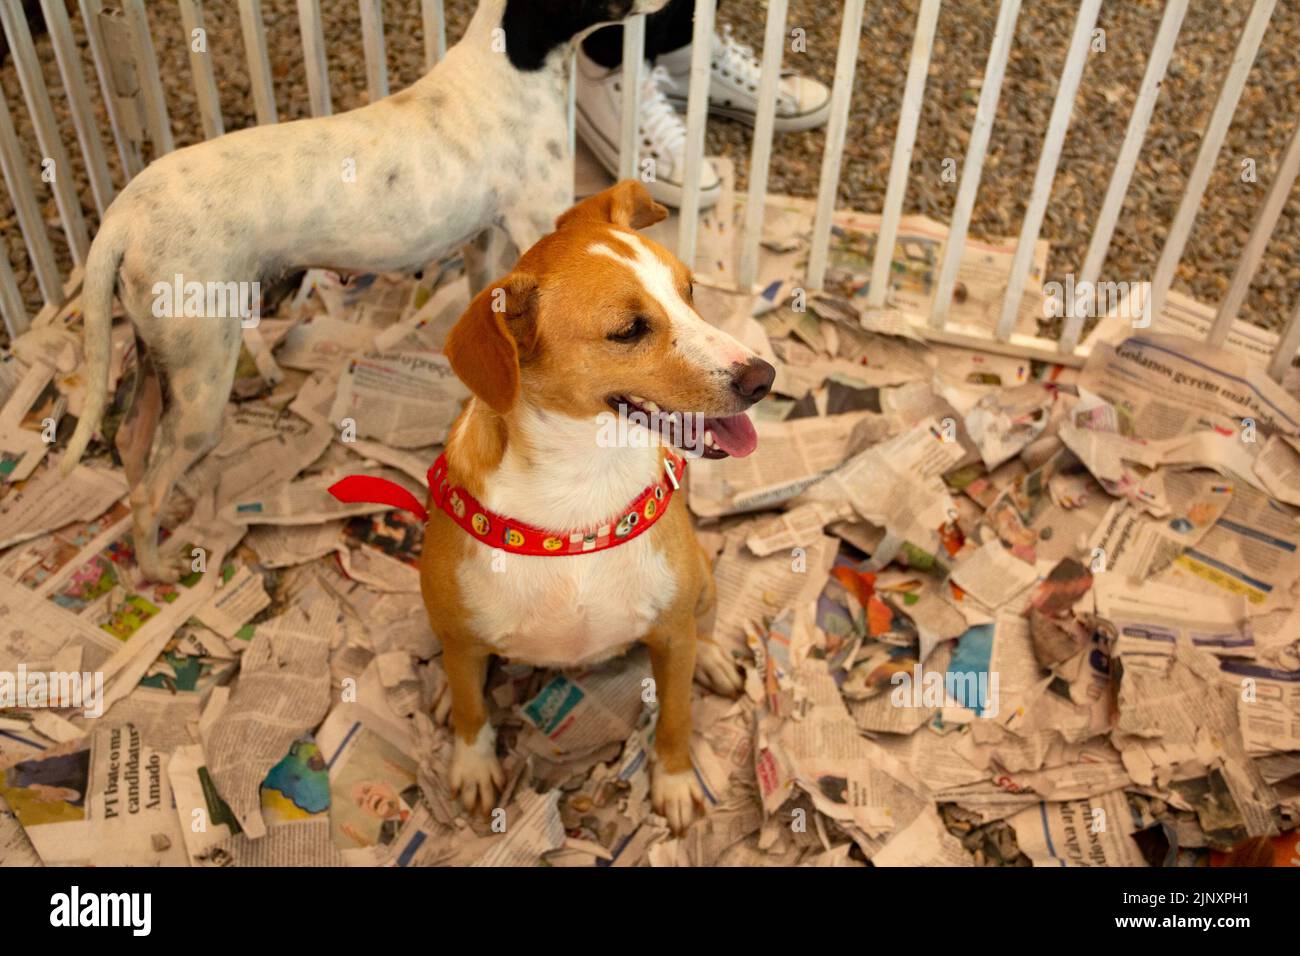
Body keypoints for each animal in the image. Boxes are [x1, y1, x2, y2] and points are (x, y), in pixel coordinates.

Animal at [423, 180, 769, 832]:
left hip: (702, 579)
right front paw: (473, 764)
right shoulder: (461, 637)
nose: (764, 377)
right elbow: (471, 709)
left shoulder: (671, 634)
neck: (582, 487)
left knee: (706, 621)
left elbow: (677, 716)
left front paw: (675, 781)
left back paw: (712, 658)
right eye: (629, 329)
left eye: (690, 291)